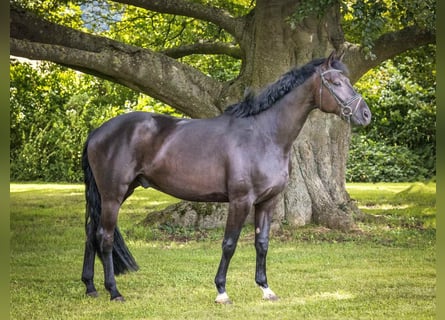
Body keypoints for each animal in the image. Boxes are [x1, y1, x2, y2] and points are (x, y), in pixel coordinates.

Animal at [80, 51, 372, 304]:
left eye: (347, 81)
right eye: (336, 82)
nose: (365, 114)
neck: (264, 135)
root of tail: (97, 132)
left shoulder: (267, 202)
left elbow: (262, 243)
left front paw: (265, 289)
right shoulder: (241, 201)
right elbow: (229, 244)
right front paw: (222, 292)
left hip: (115, 193)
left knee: (91, 232)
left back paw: (90, 287)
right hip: (113, 194)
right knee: (105, 236)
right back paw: (114, 292)